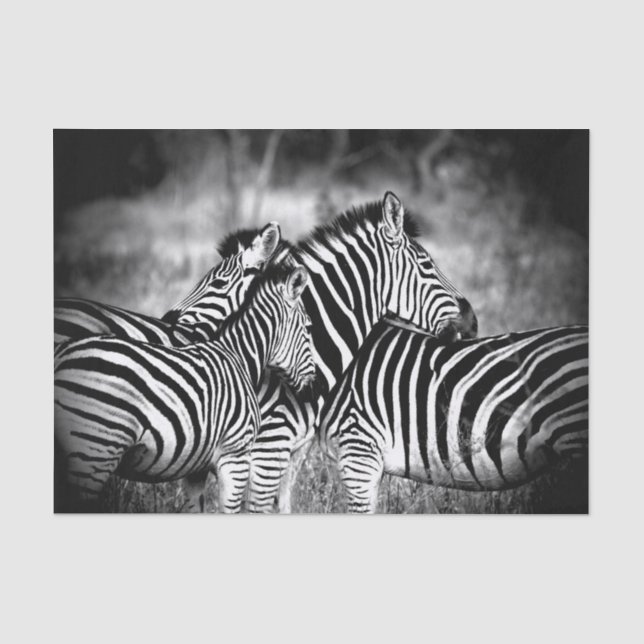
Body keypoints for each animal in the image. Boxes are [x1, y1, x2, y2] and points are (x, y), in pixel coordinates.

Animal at [54, 263, 316, 513]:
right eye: (308, 328)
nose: (314, 388)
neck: (238, 356)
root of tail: (62, 354)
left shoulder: (196, 466)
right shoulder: (236, 454)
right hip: (94, 449)